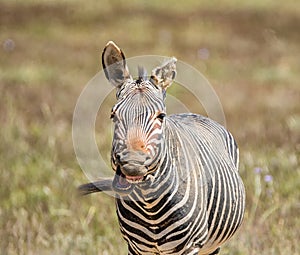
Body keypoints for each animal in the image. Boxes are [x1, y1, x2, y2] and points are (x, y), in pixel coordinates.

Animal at [78, 40, 245, 254]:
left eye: (161, 116)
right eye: (113, 115)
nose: (132, 164)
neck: (149, 202)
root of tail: (193, 114)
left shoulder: (191, 246)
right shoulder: (136, 248)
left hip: (212, 246)